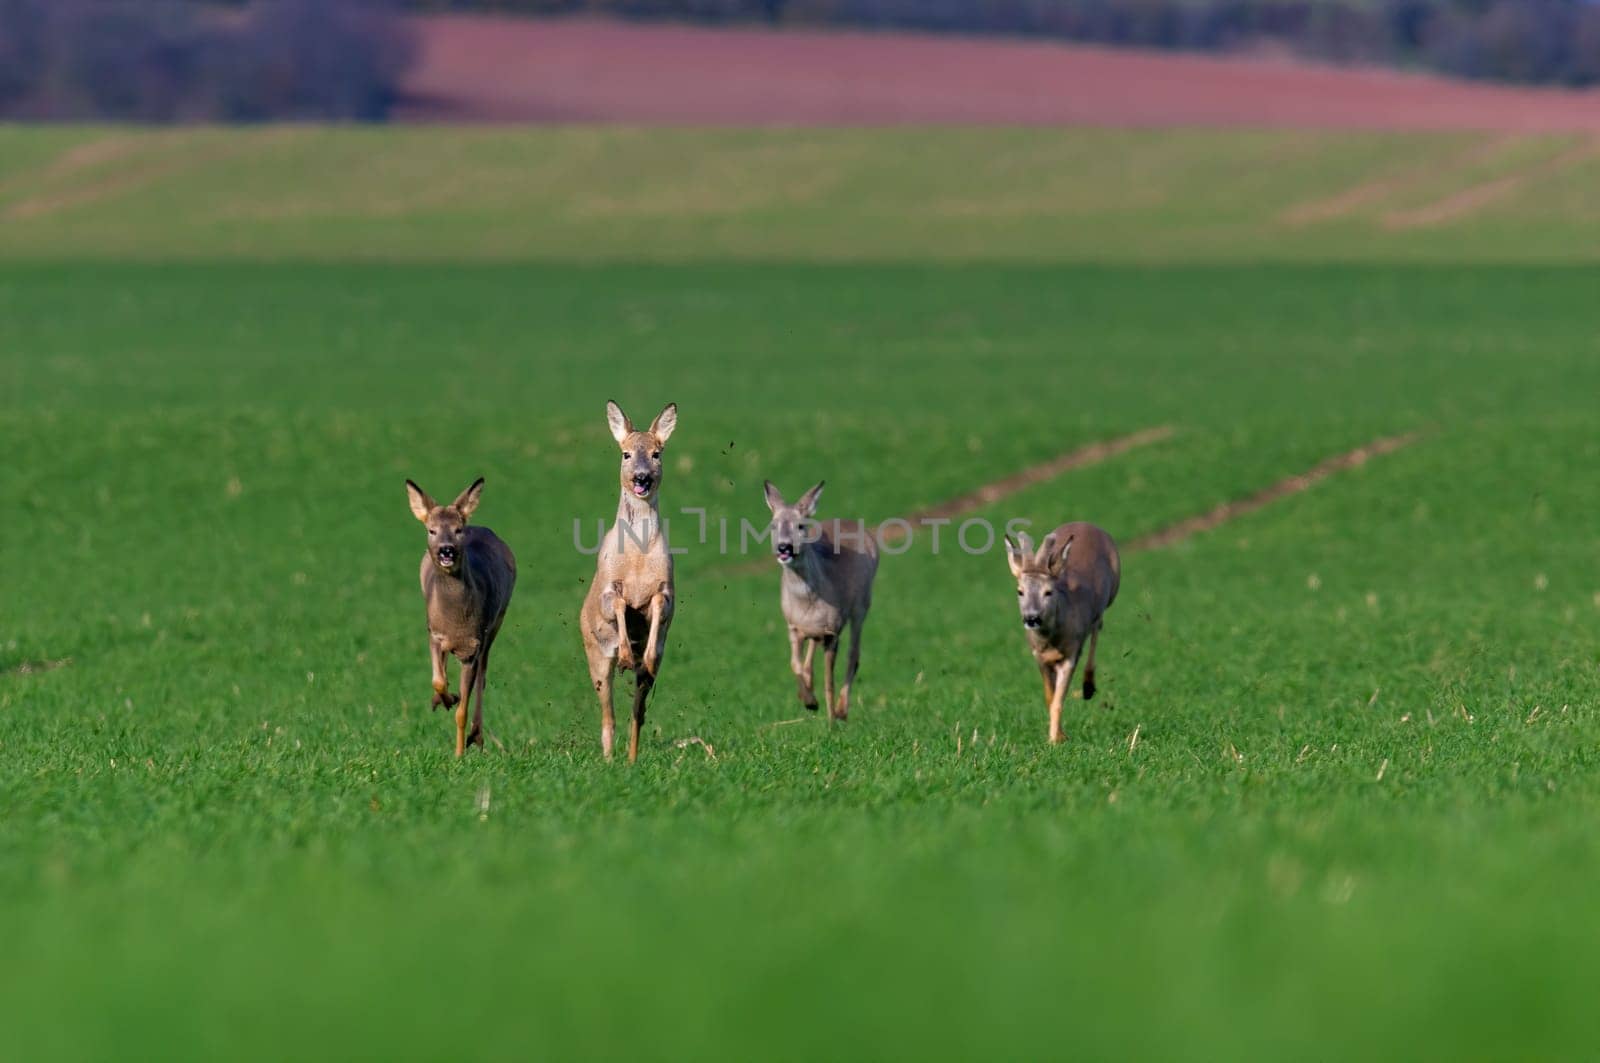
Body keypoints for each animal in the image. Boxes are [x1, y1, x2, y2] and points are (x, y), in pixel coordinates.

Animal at [403, 477, 515, 758]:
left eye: (458, 529)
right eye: (431, 530)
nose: (447, 550)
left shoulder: (472, 647)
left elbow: (462, 710)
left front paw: (459, 755)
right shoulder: (433, 633)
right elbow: (438, 680)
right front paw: (446, 698)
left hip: (495, 625)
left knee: (483, 675)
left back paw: (477, 736)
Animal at [582, 400, 675, 765]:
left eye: (657, 453)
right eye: (625, 453)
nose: (641, 478)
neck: (637, 557)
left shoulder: (667, 588)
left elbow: (659, 602)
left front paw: (643, 653)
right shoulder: (609, 585)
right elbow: (619, 601)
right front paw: (624, 651)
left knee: (637, 714)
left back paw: (632, 760)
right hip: (594, 657)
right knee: (607, 716)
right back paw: (609, 760)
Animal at [761, 483, 876, 723]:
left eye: (800, 525)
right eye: (773, 525)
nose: (784, 548)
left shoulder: (833, 632)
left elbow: (829, 680)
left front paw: (831, 721)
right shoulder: (793, 627)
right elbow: (795, 664)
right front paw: (809, 701)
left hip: (861, 606)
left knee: (854, 654)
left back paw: (842, 711)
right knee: (809, 658)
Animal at [1004, 525, 1120, 746]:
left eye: (1048, 592)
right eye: (1020, 591)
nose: (1032, 618)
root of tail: (1087, 524)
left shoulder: (1070, 655)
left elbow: (1058, 700)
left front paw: (1055, 740)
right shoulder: (1039, 658)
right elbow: (1050, 698)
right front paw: (1060, 735)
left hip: (1110, 594)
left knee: (1097, 625)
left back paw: (1088, 687)